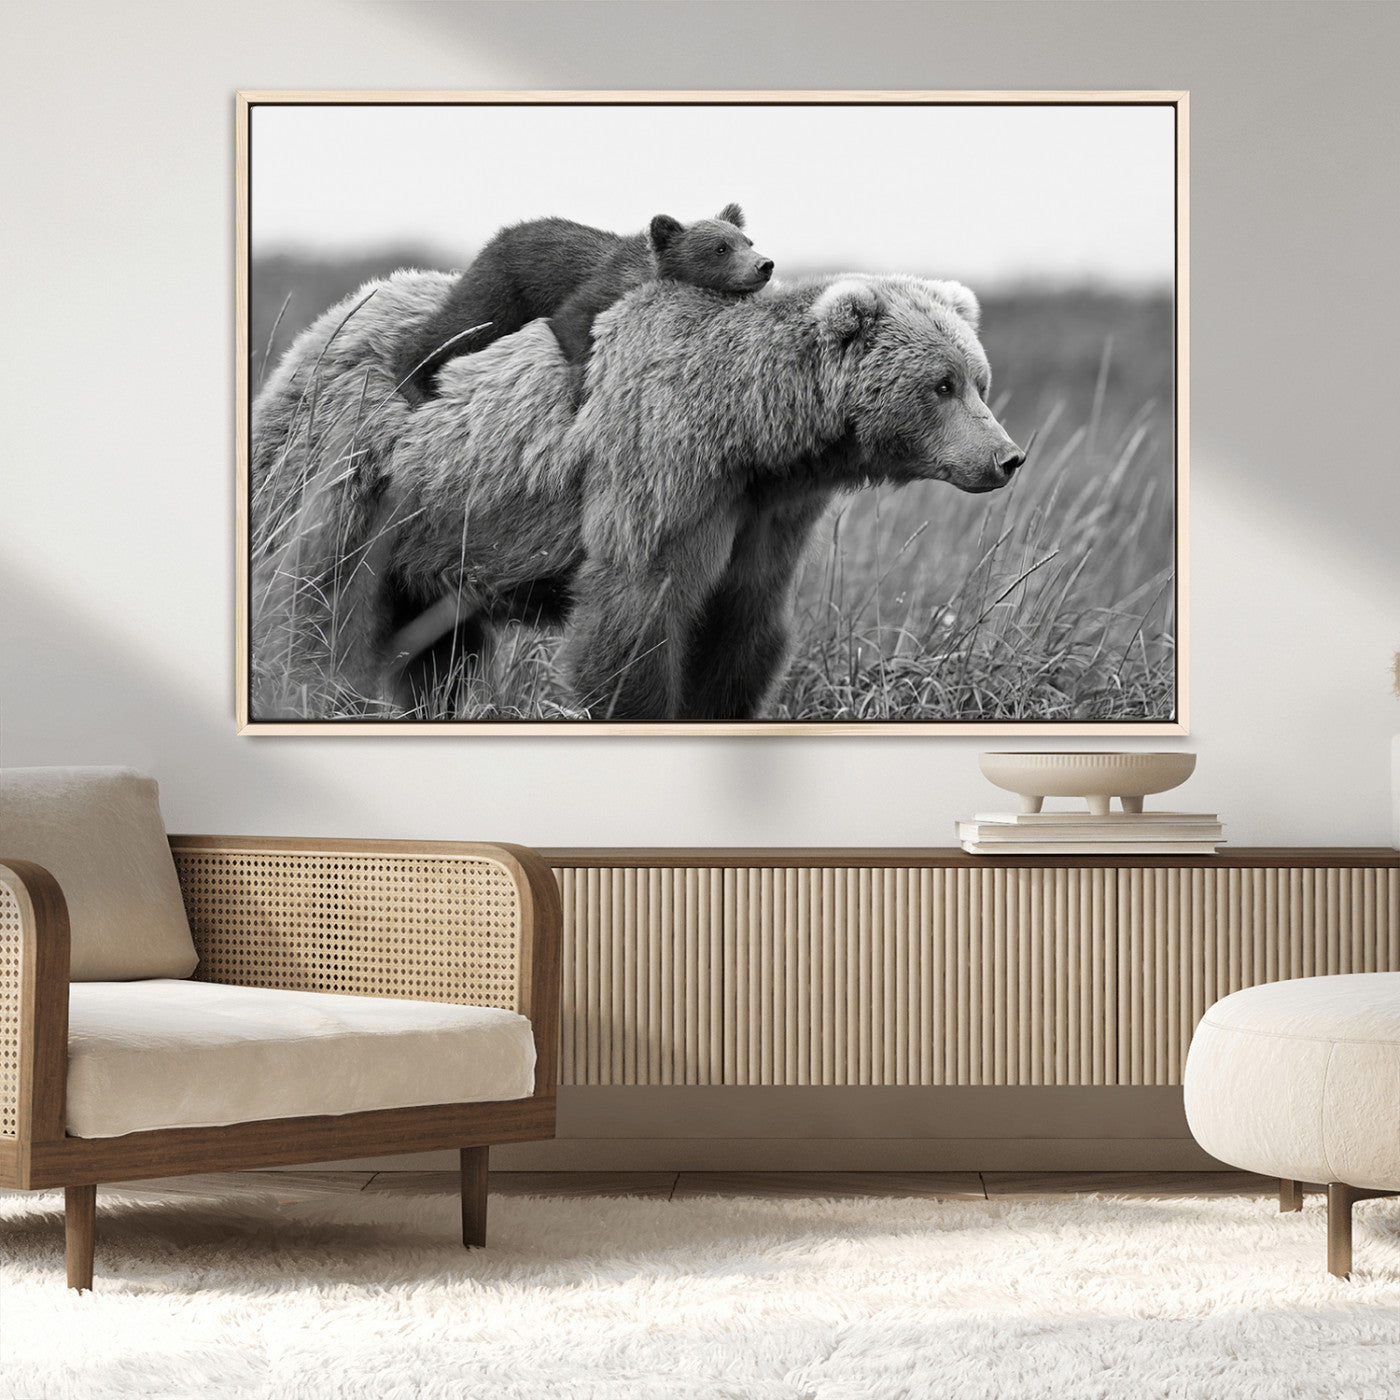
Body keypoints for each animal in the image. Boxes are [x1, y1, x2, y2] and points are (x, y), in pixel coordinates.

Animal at [249, 268, 1024, 722]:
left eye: (978, 379)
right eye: (942, 384)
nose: (1006, 456)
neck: (754, 431)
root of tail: (325, 323)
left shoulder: (766, 513)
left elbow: (742, 624)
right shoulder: (662, 466)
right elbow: (636, 611)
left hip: (438, 530)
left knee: (439, 649)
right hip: (353, 472)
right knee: (317, 601)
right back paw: (310, 690)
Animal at [388, 204, 773, 405]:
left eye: (748, 240)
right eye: (720, 248)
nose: (764, 265)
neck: (646, 272)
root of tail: (497, 236)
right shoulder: (601, 286)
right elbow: (571, 320)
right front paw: (581, 388)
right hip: (502, 288)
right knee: (460, 325)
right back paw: (414, 382)